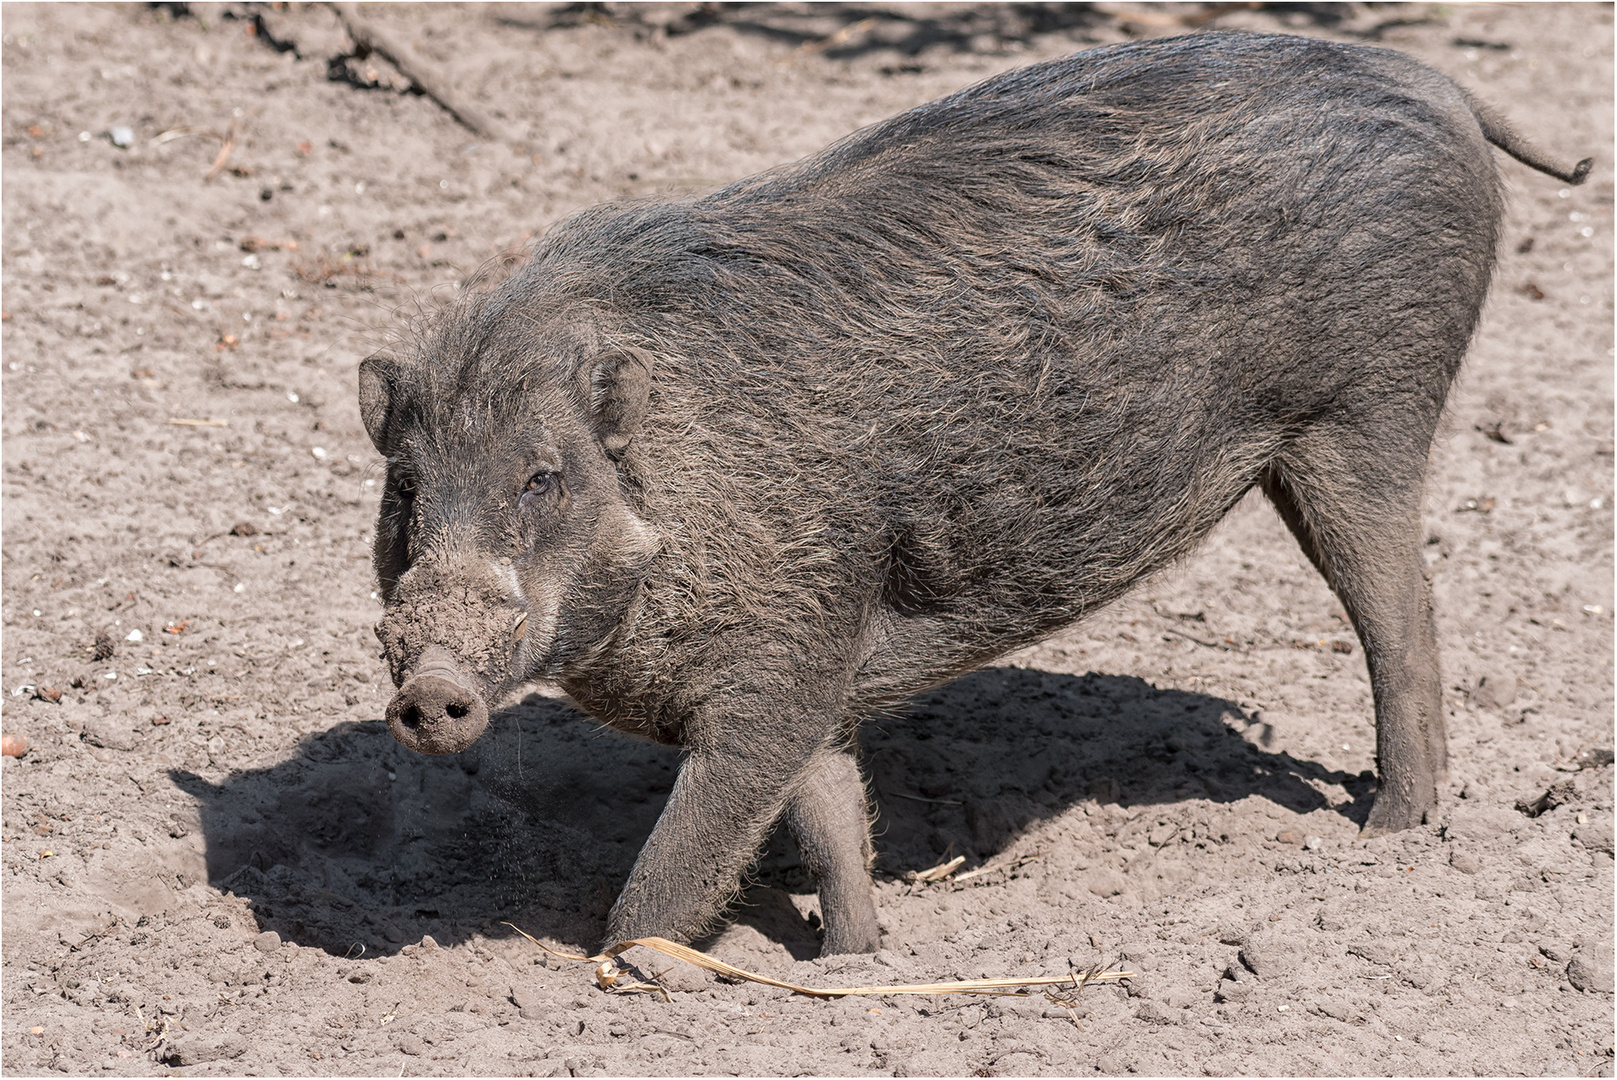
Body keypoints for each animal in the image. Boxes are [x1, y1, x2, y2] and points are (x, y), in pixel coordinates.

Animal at [357, 29, 1591, 950]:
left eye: (543, 477)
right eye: (404, 491)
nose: (428, 691)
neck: (683, 489)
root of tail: (1435, 82)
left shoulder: (773, 676)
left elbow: (679, 866)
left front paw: (637, 965)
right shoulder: (814, 669)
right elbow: (831, 819)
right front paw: (859, 956)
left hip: (1365, 411)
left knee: (1402, 612)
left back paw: (1391, 835)